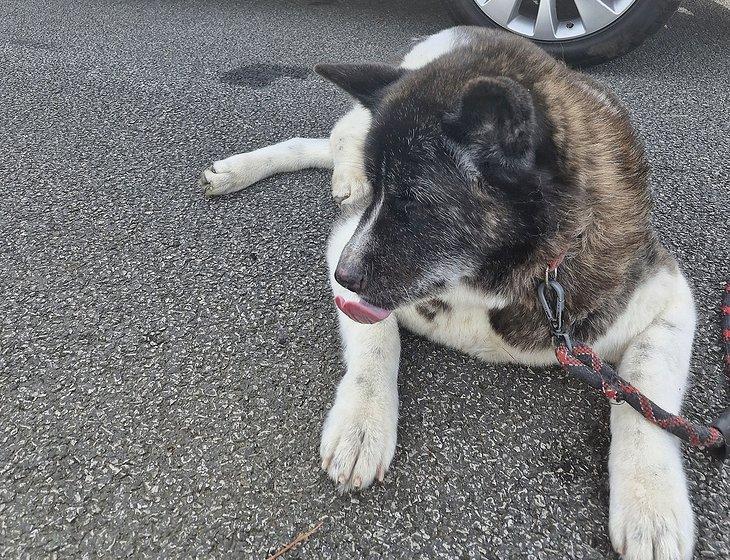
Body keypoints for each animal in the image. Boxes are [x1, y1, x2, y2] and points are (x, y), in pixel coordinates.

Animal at [198, 28, 692, 560]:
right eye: (383, 192)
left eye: (413, 203)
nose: (343, 277)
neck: (506, 281)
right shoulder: (350, 243)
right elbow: (378, 344)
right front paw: (362, 424)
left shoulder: (666, 299)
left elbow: (644, 398)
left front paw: (651, 504)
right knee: (332, 140)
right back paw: (264, 172)